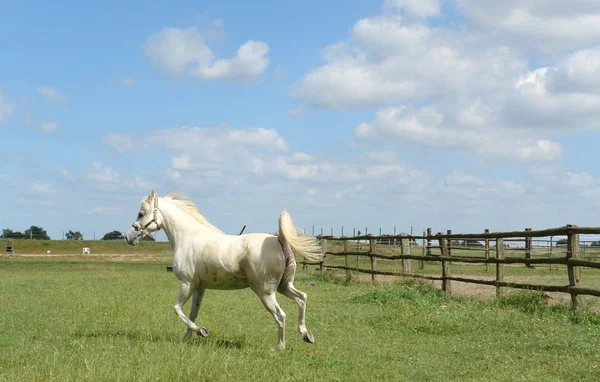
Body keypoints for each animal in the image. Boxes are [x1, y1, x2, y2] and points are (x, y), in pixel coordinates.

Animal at [123, 188, 324, 350]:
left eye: (141, 213)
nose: (129, 237)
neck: (187, 238)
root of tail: (280, 239)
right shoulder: (199, 287)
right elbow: (192, 313)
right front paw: (186, 338)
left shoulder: (187, 283)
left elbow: (177, 308)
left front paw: (202, 331)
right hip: (284, 286)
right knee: (301, 298)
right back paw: (306, 335)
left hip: (265, 292)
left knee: (280, 315)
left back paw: (279, 347)